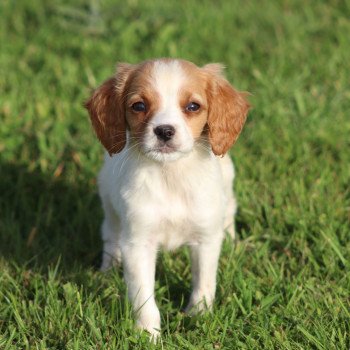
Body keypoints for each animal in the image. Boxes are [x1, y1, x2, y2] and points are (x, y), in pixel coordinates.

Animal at [85, 58, 249, 338]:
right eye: (139, 106)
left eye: (193, 106)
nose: (164, 131)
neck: (170, 174)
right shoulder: (138, 243)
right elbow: (143, 295)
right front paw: (147, 334)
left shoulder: (205, 238)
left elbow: (204, 282)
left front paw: (198, 316)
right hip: (109, 203)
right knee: (110, 236)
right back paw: (107, 270)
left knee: (229, 212)